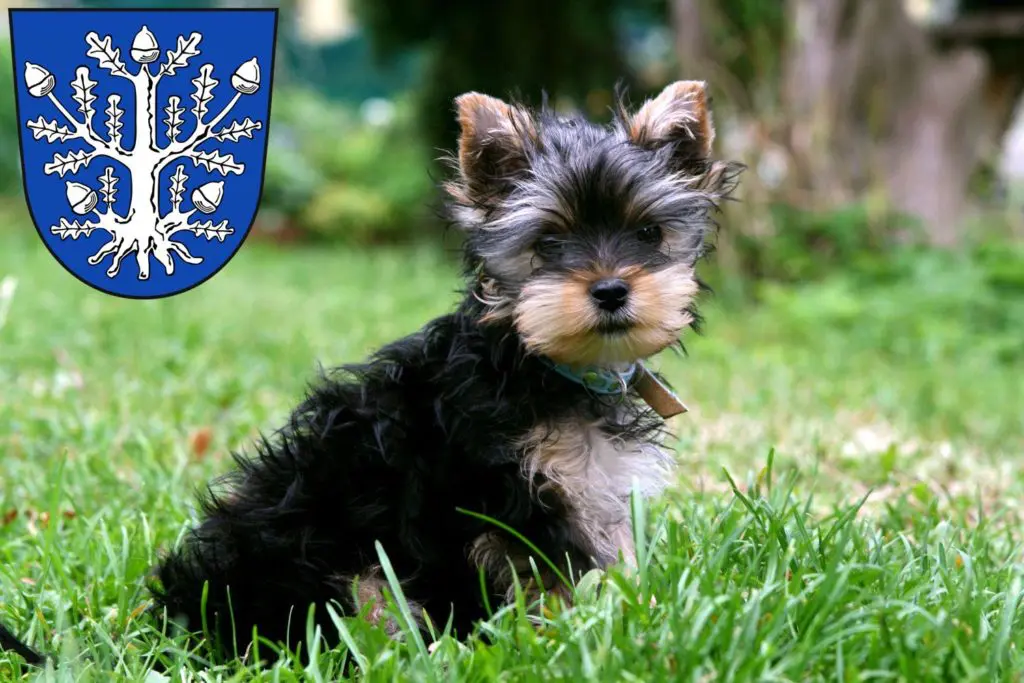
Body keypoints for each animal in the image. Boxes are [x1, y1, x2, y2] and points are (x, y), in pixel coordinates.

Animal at [148, 80, 741, 663]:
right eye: (548, 243)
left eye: (648, 233)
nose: (612, 290)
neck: (542, 359)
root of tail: (191, 618)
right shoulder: (513, 491)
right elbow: (555, 573)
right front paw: (581, 633)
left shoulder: (587, 488)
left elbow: (613, 560)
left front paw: (641, 611)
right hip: (322, 570)